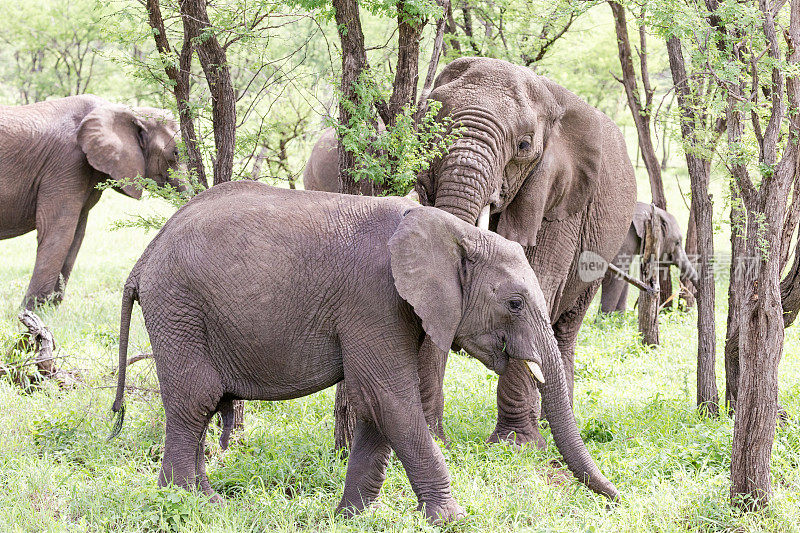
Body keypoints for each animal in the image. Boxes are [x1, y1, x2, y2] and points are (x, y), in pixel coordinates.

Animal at [0, 94, 188, 308]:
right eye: (176, 153)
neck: (124, 110)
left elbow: (76, 235)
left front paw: (48, 310)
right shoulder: (66, 163)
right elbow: (58, 232)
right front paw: (31, 313)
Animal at [108, 181, 620, 520]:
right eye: (514, 303)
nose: (617, 498)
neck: (454, 231)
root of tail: (144, 258)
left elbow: (376, 406)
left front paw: (352, 517)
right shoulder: (374, 299)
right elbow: (388, 397)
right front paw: (452, 519)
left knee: (206, 404)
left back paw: (209, 502)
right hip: (179, 308)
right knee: (195, 400)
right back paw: (184, 503)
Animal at [312, 57, 636, 448]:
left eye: (524, 146)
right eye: (428, 130)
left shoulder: (558, 197)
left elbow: (539, 283)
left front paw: (515, 445)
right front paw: (435, 438)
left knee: (566, 328)